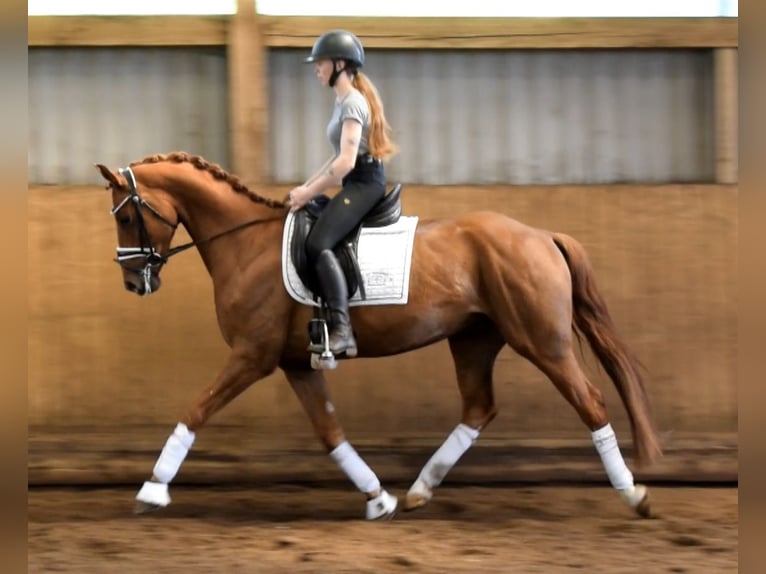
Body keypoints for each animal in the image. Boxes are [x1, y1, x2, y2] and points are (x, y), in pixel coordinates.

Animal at [95, 151, 662, 520]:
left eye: (125, 215)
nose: (133, 282)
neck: (246, 243)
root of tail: (542, 235)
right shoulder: (296, 363)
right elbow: (330, 432)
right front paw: (377, 498)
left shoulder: (251, 357)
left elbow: (196, 410)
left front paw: (152, 489)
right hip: (475, 339)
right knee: (479, 408)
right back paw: (417, 492)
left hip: (542, 341)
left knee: (590, 402)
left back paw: (634, 495)